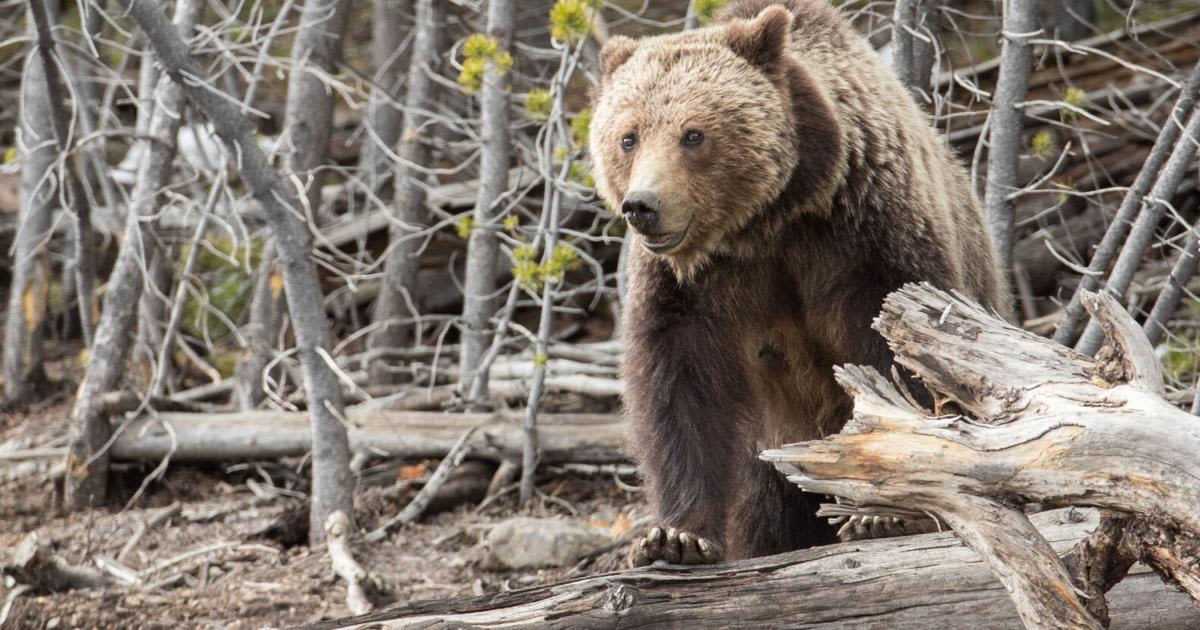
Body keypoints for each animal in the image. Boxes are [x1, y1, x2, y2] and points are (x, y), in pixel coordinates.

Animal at [590, 0, 1012, 561]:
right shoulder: (691, 284)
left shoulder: (866, 235)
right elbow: (680, 385)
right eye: (628, 137)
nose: (643, 206)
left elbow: (903, 358)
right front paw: (676, 537)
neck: (767, 222)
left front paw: (883, 515)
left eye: (693, 135)